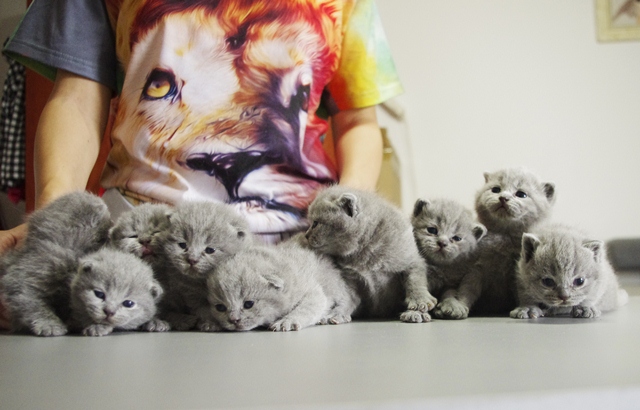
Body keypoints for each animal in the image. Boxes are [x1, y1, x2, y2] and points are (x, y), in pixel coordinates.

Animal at [155, 200, 252, 331]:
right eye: (182, 245)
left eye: (210, 250)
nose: (192, 260)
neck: (200, 283)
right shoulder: (188, 294)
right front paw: (210, 323)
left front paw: (210, 324)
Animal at [207, 243, 360, 331]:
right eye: (220, 308)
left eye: (248, 304)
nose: (233, 320)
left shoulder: (313, 292)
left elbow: (305, 308)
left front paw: (287, 321)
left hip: (336, 285)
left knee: (350, 300)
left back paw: (336, 315)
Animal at [303, 185, 437, 323]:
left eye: (315, 223)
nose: (306, 235)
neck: (364, 252)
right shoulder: (352, 279)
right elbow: (348, 297)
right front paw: (337, 313)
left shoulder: (412, 260)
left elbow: (414, 280)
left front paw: (420, 302)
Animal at [435, 168, 556, 319]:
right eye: (496, 189)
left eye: (521, 194)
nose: (503, 197)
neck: (503, 236)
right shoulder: (476, 268)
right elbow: (467, 288)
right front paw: (458, 305)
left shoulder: (519, 268)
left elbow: (524, 289)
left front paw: (527, 308)